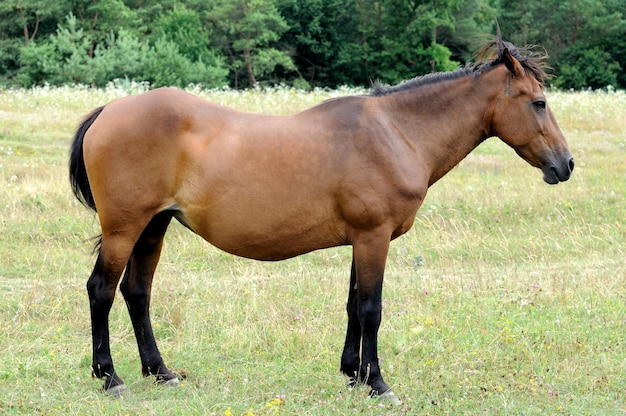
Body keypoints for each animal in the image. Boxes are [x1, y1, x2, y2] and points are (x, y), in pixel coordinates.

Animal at [67, 36, 572, 404]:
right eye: (539, 103)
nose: (565, 164)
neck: (396, 133)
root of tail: (108, 110)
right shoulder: (374, 238)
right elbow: (371, 309)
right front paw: (379, 384)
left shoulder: (363, 239)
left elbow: (352, 305)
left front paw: (354, 374)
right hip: (124, 229)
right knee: (102, 291)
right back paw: (110, 377)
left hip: (154, 227)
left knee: (137, 293)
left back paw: (161, 372)